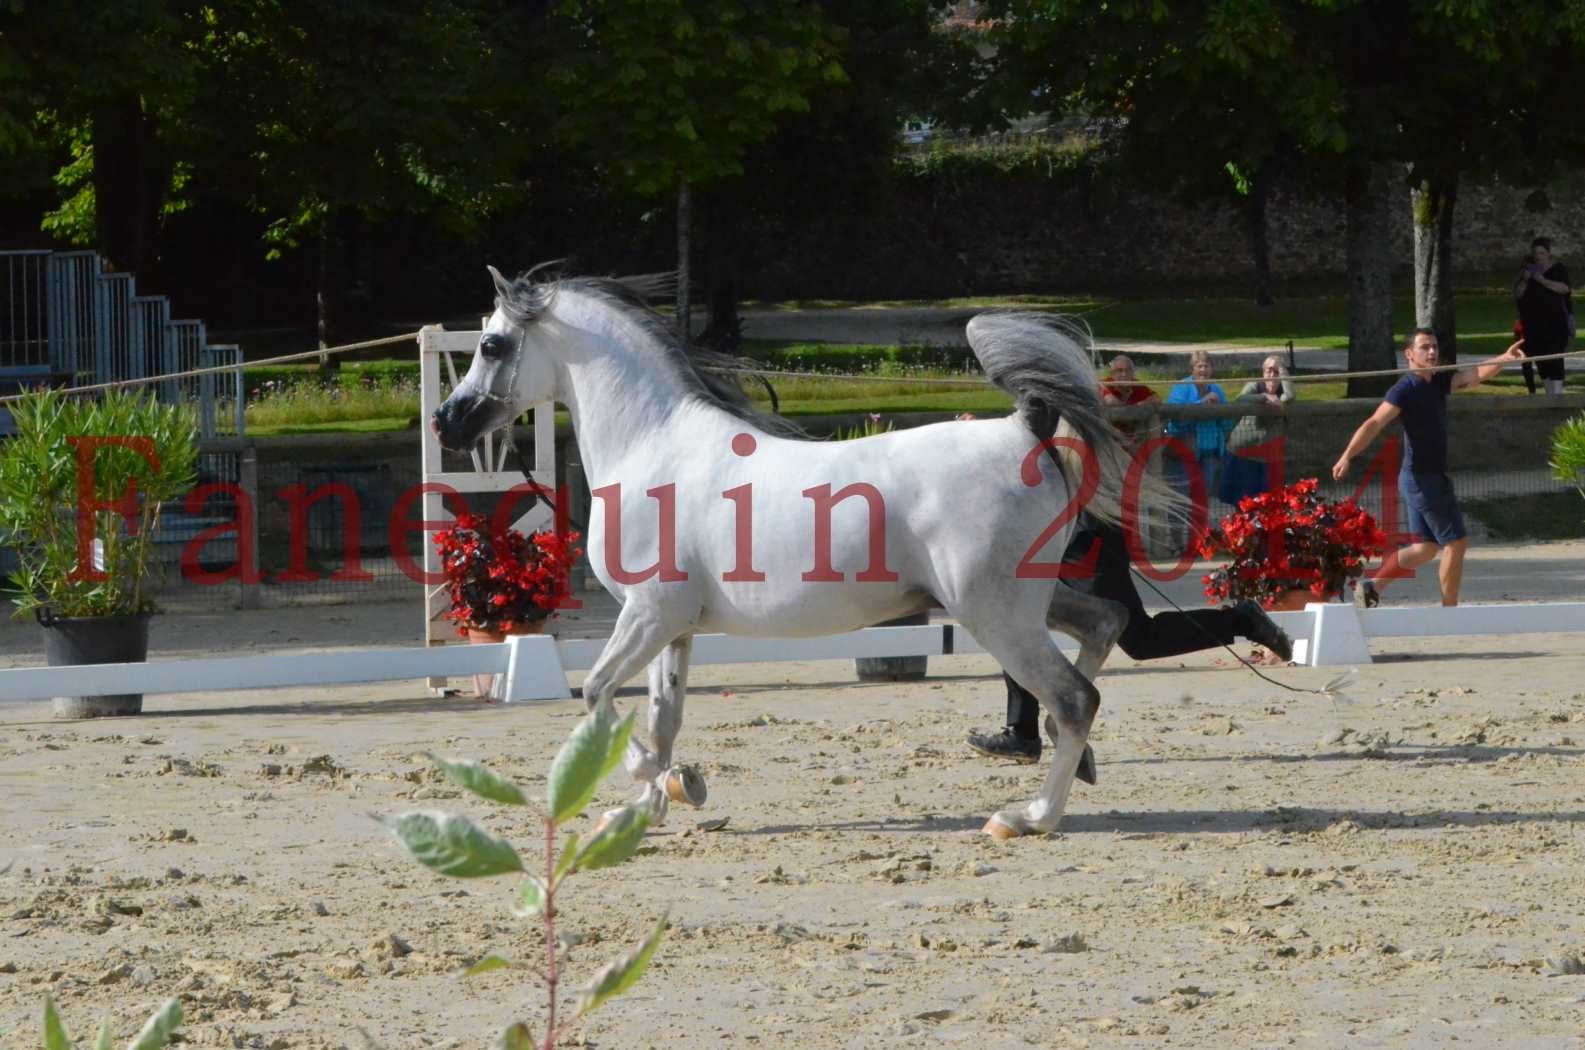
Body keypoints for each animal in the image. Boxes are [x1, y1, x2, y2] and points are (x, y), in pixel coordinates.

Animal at [434, 269, 1166, 837]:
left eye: (492, 344)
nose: (447, 422)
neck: (652, 447)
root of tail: (1025, 428)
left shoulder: (646, 614)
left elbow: (599, 695)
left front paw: (666, 783)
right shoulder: (673, 627)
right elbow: (663, 717)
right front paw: (650, 807)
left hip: (996, 614)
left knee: (1073, 697)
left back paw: (1029, 816)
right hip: (1027, 602)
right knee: (1104, 624)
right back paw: (1076, 767)